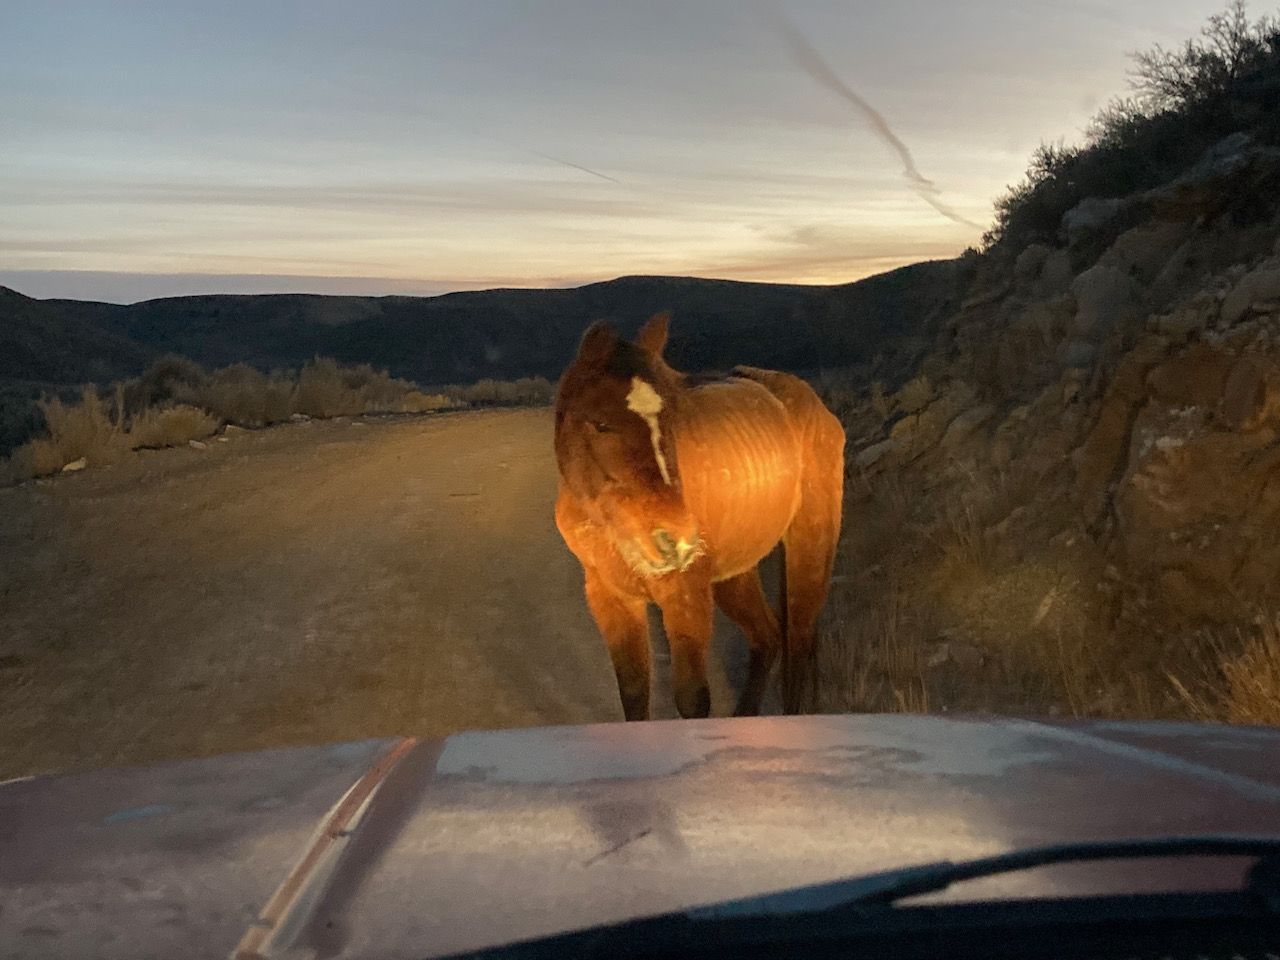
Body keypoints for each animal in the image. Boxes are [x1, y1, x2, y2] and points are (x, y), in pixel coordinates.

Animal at [552, 316, 844, 721]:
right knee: (767, 636)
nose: (676, 541)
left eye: (673, 418)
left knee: (797, 641)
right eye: (600, 424)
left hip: (809, 547)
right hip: (735, 574)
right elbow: (634, 690)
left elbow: (692, 699)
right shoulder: (611, 598)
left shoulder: (685, 597)